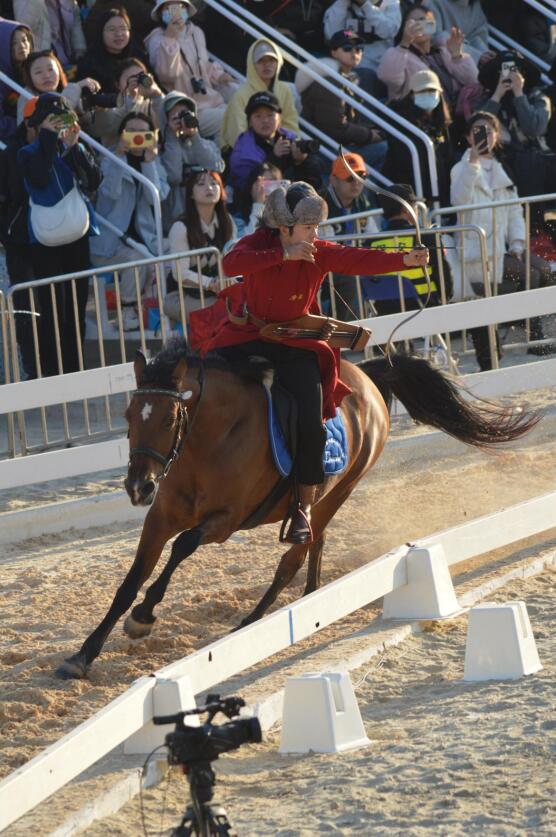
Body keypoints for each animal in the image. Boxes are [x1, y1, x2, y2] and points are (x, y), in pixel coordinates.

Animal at [55, 340, 536, 680]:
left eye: (171, 417)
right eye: (128, 414)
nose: (139, 487)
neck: (207, 442)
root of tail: (365, 374)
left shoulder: (227, 520)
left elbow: (182, 549)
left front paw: (143, 617)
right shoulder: (159, 519)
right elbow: (129, 582)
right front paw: (83, 655)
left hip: (339, 490)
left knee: (295, 556)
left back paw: (251, 623)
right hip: (324, 498)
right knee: (313, 549)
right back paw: (308, 602)